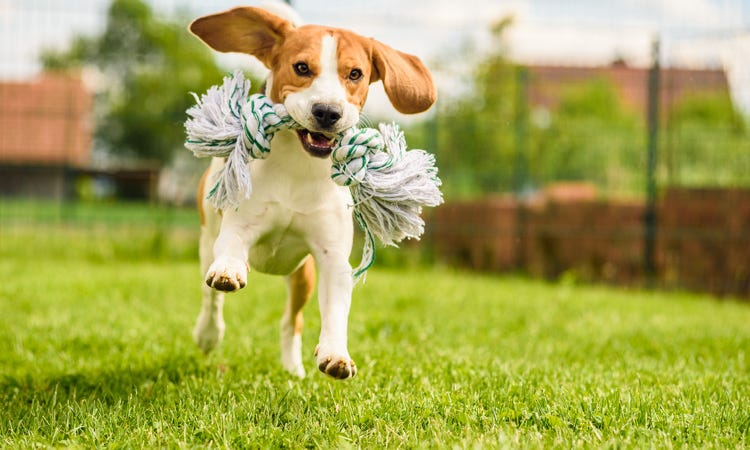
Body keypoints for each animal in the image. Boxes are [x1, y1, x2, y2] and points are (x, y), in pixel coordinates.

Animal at [188, 6, 438, 380]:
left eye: (355, 73)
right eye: (302, 67)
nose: (328, 112)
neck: (299, 168)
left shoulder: (332, 257)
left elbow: (335, 310)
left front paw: (336, 354)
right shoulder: (238, 227)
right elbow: (229, 253)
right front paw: (229, 271)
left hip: (301, 275)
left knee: (291, 321)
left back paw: (293, 369)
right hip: (207, 240)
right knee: (211, 298)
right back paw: (208, 332)